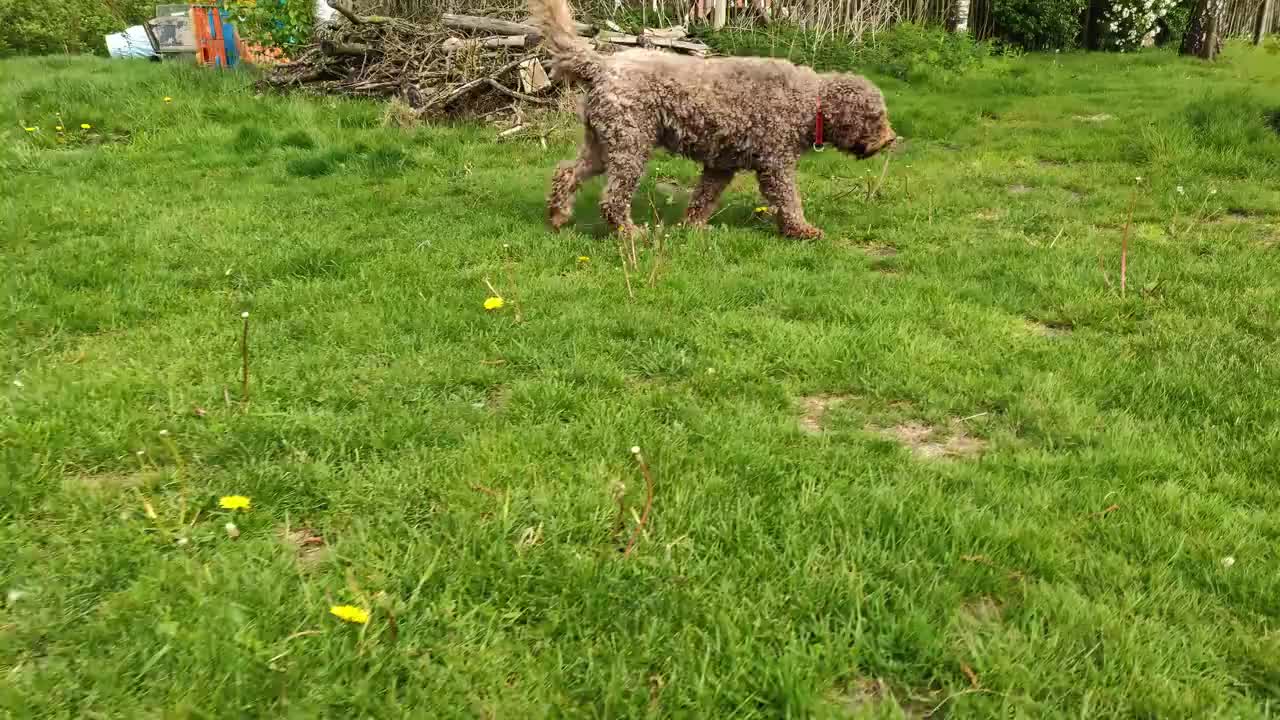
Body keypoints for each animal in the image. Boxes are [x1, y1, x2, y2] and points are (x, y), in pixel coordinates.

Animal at [529, 0, 901, 239]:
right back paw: (631, 233)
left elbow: (703, 198)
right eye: (877, 116)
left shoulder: (721, 165)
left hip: (603, 143)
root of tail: (603, 65)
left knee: (565, 173)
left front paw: (693, 228)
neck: (810, 102)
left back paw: (558, 216)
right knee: (613, 199)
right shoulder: (776, 165)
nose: (890, 139)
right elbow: (789, 200)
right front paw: (802, 230)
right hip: (629, 146)